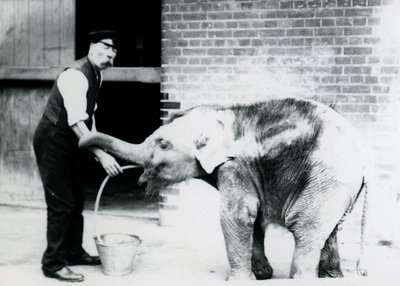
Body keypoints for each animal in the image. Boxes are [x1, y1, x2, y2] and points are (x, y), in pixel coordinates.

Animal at [80, 98, 368, 280]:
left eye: (162, 143)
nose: (113, 169)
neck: (219, 113)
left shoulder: (235, 165)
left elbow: (239, 213)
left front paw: (241, 280)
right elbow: (255, 215)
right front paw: (262, 275)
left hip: (328, 179)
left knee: (305, 229)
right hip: (334, 187)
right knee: (330, 230)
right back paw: (333, 278)